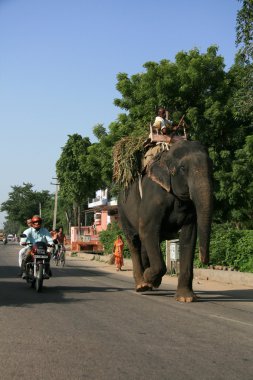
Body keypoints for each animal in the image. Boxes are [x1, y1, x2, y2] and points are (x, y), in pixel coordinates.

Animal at [117, 140, 212, 302]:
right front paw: (150, 278)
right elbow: (147, 230)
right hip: (123, 213)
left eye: (211, 166)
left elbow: (189, 236)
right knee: (134, 241)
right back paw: (142, 285)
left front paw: (185, 298)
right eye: (183, 168)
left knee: (145, 244)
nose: (204, 261)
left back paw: (149, 283)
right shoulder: (154, 198)